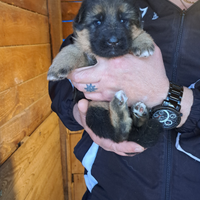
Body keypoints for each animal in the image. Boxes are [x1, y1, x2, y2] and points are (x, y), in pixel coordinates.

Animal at [47, 0, 162, 147]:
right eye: (97, 22)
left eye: (123, 20)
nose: (113, 42)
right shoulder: (86, 62)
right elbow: (72, 49)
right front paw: (58, 66)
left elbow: (140, 32)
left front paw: (143, 42)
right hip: (94, 108)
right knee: (120, 134)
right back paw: (125, 108)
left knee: (124, 134)